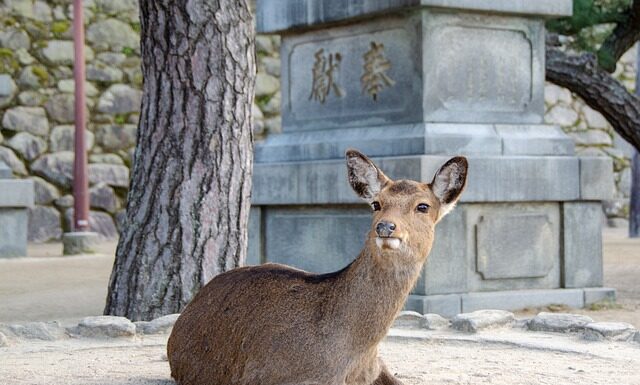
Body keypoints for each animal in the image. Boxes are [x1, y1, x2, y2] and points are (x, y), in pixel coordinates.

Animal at [168, 149, 468, 384]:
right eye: (376, 204)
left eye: (423, 206)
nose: (386, 227)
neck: (352, 356)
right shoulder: (270, 374)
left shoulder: (378, 368)